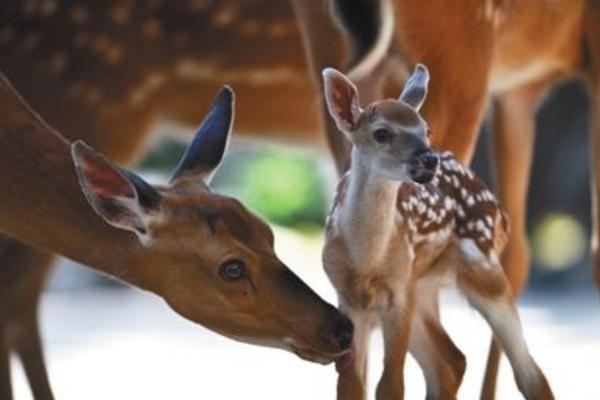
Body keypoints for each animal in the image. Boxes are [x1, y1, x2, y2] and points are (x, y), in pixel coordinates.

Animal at [290, 0, 596, 396]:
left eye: (426, 130)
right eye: (381, 133)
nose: (429, 158)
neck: (367, 260)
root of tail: (497, 210)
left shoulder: (399, 294)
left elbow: (391, 385)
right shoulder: (349, 300)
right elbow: (352, 387)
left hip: (481, 269)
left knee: (529, 371)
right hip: (426, 284)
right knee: (450, 360)